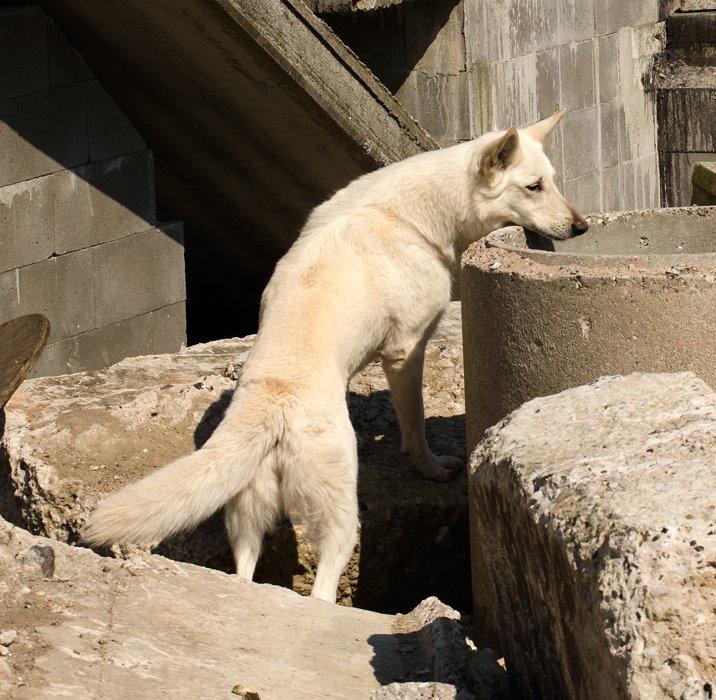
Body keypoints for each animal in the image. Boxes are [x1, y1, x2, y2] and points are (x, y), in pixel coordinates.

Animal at [82, 108, 588, 600]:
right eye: (534, 187)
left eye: (553, 180)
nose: (582, 227)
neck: (417, 213)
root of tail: (273, 405)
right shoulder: (406, 351)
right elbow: (416, 428)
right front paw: (431, 468)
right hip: (340, 518)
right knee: (322, 591)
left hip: (246, 518)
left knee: (245, 573)